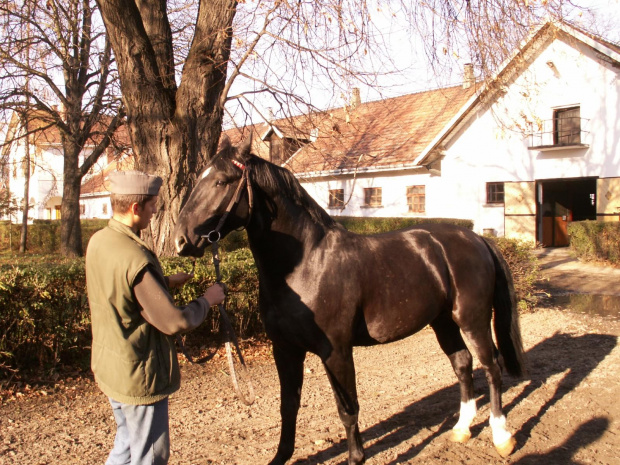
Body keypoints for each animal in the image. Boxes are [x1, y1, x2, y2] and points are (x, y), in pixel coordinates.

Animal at [172, 136, 524, 462]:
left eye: (221, 181)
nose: (181, 241)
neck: (306, 265)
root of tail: (476, 238)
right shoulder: (285, 350)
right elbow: (289, 406)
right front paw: (281, 456)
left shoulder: (336, 352)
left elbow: (347, 408)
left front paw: (356, 457)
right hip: (443, 322)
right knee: (463, 364)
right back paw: (462, 429)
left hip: (472, 319)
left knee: (491, 366)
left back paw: (501, 436)